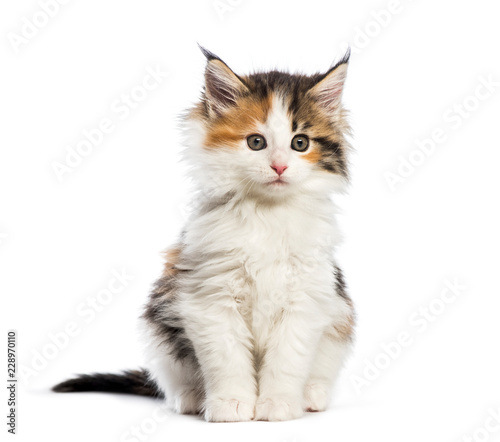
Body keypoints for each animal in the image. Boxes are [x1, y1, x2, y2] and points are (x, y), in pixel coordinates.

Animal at [54, 46, 356, 424]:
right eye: (256, 142)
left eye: (300, 143)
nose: (279, 166)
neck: (267, 212)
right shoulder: (210, 297)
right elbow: (227, 360)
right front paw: (231, 404)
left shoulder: (306, 298)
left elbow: (288, 359)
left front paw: (278, 404)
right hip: (159, 329)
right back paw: (192, 398)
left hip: (339, 319)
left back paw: (312, 396)